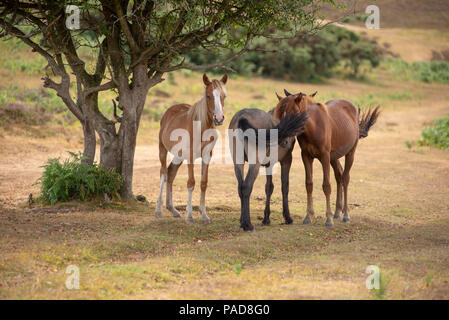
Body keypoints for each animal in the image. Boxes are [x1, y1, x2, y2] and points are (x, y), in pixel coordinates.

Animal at [157, 74, 228, 224]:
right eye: (208, 95)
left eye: (223, 96)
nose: (219, 118)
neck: (201, 128)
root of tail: (168, 112)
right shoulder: (190, 156)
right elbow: (191, 182)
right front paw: (189, 216)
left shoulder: (207, 155)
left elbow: (203, 183)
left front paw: (204, 215)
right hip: (162, 150)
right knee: (163, 173)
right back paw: (158, 210)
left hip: (178, 155)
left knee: (171, 173)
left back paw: (172, 209)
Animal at [272, 89, 380, 226]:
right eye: (278, 116)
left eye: (292, 117)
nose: (283, 141)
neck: (313, 127)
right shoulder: (306, 156)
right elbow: (309, 184)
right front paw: (308, 217)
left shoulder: (324, 157)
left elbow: (326, 186)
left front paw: (328, 219)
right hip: (334, 157)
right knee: (339, 176)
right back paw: (337, 212)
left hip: (350, 153)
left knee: (345, 178)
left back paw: (345, 215)